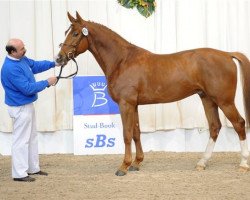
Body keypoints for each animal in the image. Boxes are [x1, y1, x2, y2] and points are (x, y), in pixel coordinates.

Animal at [56, 11, 250, 176]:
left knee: (239, 124)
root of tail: (227, 54)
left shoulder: (125, 104)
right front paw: (136, 163)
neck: (122, 61)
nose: (59, 58)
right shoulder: (133, 105)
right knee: (215, 127)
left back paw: (243, 164)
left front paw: (123, 166)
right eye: (67, 31)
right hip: (208, 99)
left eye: (75, 33)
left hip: (224, 101)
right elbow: (136, 132)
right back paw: (202, 162)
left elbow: (127, 134)